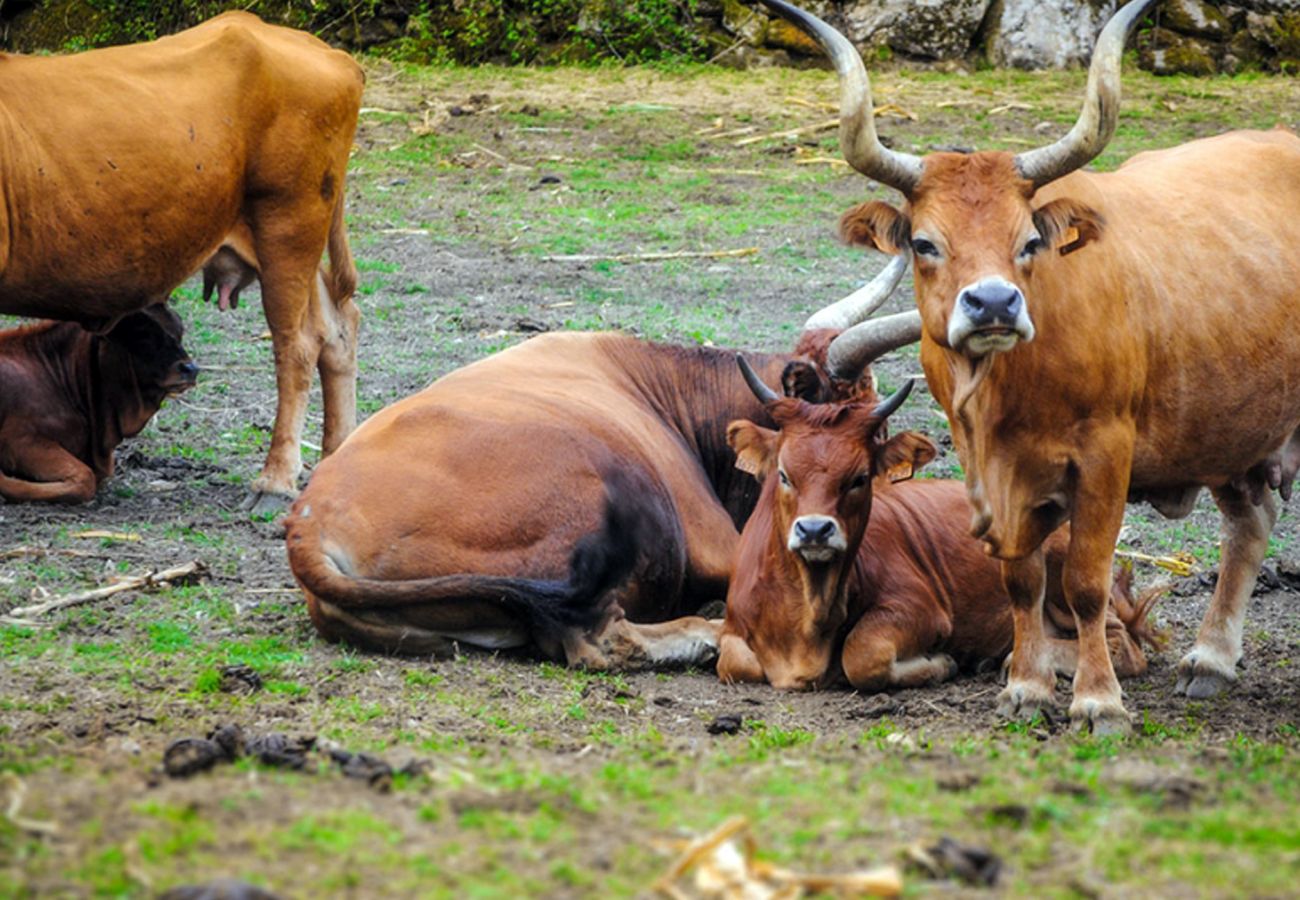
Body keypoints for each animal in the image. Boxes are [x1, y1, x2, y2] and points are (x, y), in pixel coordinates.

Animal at [722, 361, 1159, 691]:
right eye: (784, 474)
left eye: (859, 478)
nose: (814, 531)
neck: (807, 613)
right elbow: (733, 662)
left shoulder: (921, 609)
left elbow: (861, 655)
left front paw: (941, 663)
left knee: (1120, 643)